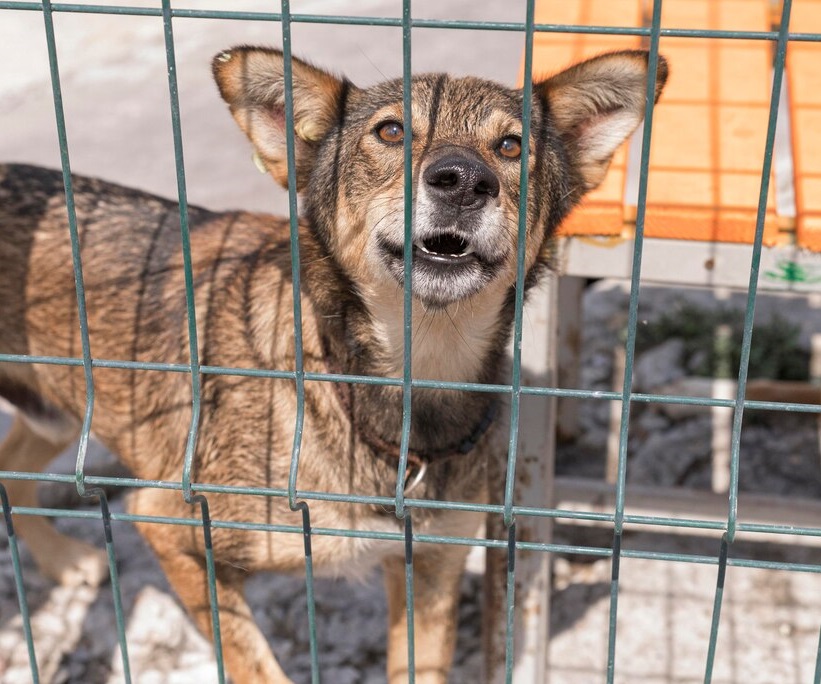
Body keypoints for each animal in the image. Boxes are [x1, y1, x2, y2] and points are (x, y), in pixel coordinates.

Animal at [0, 48, 668, 684]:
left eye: (511, 146)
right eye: (391, 131)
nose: (462, 181)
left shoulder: (432, 569)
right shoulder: (169, 524)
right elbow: (257, 666)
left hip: (57, 415)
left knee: (12, 472)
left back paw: (65, 561)